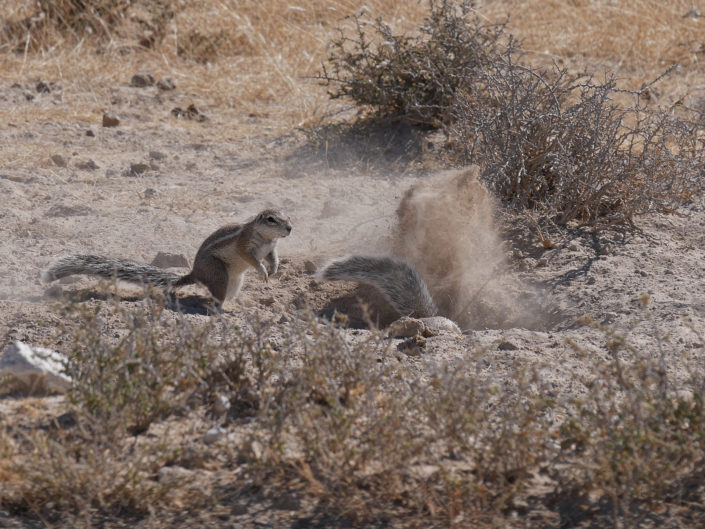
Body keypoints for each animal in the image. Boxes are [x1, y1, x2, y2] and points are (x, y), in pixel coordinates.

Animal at [42, 209, 292, 307]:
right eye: (271, 219)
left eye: (288, 217)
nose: (290, 228)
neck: (266, 238)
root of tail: (194, 274)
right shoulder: (244, 244)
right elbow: (250, 258)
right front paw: (262, 271)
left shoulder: (271, 248)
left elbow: (273, 257)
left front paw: (273, 269)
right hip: (218, 272)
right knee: (215, 298)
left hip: (235, 280)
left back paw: (239, 303)